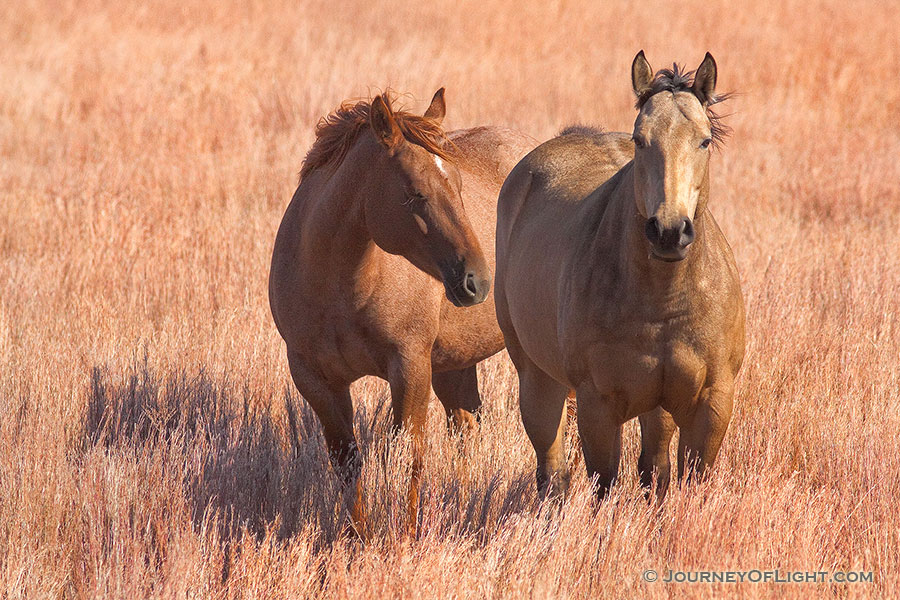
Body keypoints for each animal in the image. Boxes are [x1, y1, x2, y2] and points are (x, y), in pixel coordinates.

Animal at [268, 86, 536, 528]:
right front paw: (357, 535)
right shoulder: (315, 378)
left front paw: (405, 535)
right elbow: (347, 462)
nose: (477, 281)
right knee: (466, 427)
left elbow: (409, 457)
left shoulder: (409, 366)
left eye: (459, 186)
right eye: (415, 193)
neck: (340, 289)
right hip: (454, 363)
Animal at [496, 52, 740, 502]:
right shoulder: (597, 403)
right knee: (552, 471)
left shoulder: (711, 403)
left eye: (704, 141)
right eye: (640, 139)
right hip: (535, 375)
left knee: (653, 467)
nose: (669, 231)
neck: (664, 303)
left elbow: (683, 479)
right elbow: (603, 484)